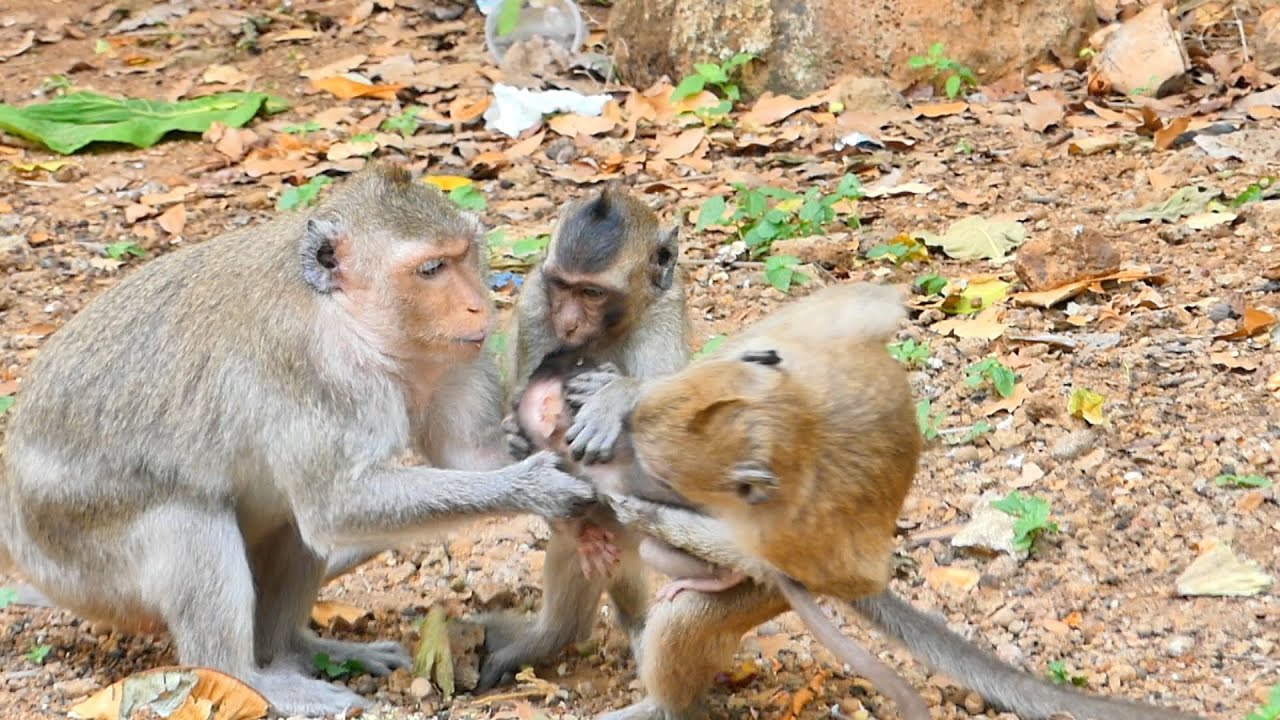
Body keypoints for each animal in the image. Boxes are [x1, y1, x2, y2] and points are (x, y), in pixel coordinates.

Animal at [0, 163, 597, 718]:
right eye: (431, 270)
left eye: (466, 255)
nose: (479, 306)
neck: (349, 320)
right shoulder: (315, 375)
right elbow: (336, 506)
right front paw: (537, 486)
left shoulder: (453, 358)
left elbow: (470, 457)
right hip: (80, 557)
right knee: (188, 520)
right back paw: (249, 677)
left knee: (289, 527)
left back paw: (295, 649)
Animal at [475, 187, 692, 690]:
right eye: (562, 287)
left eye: (592, 292)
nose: (569, 323)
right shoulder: (535, 304)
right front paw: (516, 438)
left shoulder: (664, 313)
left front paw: (615, 395)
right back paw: (547, 635)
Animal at [571, 281, 1207, 720]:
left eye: (663, 477)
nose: (627, 471)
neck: (800, 424)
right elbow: (865, 304)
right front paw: (622, 394)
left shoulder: (786, 529)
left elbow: (756, 553)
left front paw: (634, 505)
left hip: (769, 592)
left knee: (703, 607)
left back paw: (663, 699)